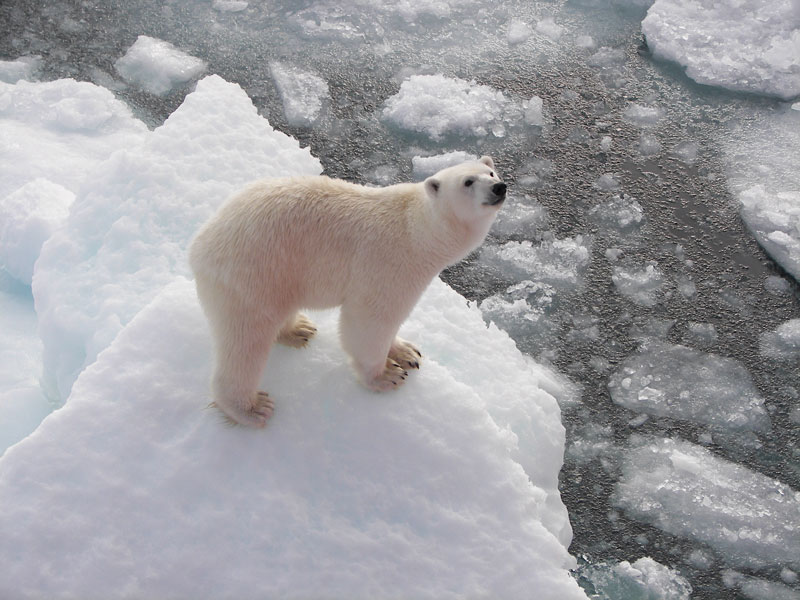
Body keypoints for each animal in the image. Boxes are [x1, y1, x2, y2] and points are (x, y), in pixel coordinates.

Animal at [188, 156, 506, 426]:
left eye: (491, 173)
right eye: (468, 182)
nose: (499, 187)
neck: (418, 229)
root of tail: (200, 244)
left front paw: (407, 351)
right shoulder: (389, 263)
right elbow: (370, 321)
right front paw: (387, 374)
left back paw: (298, 329)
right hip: (252, 273)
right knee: (246, 340)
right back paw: (251, 408)